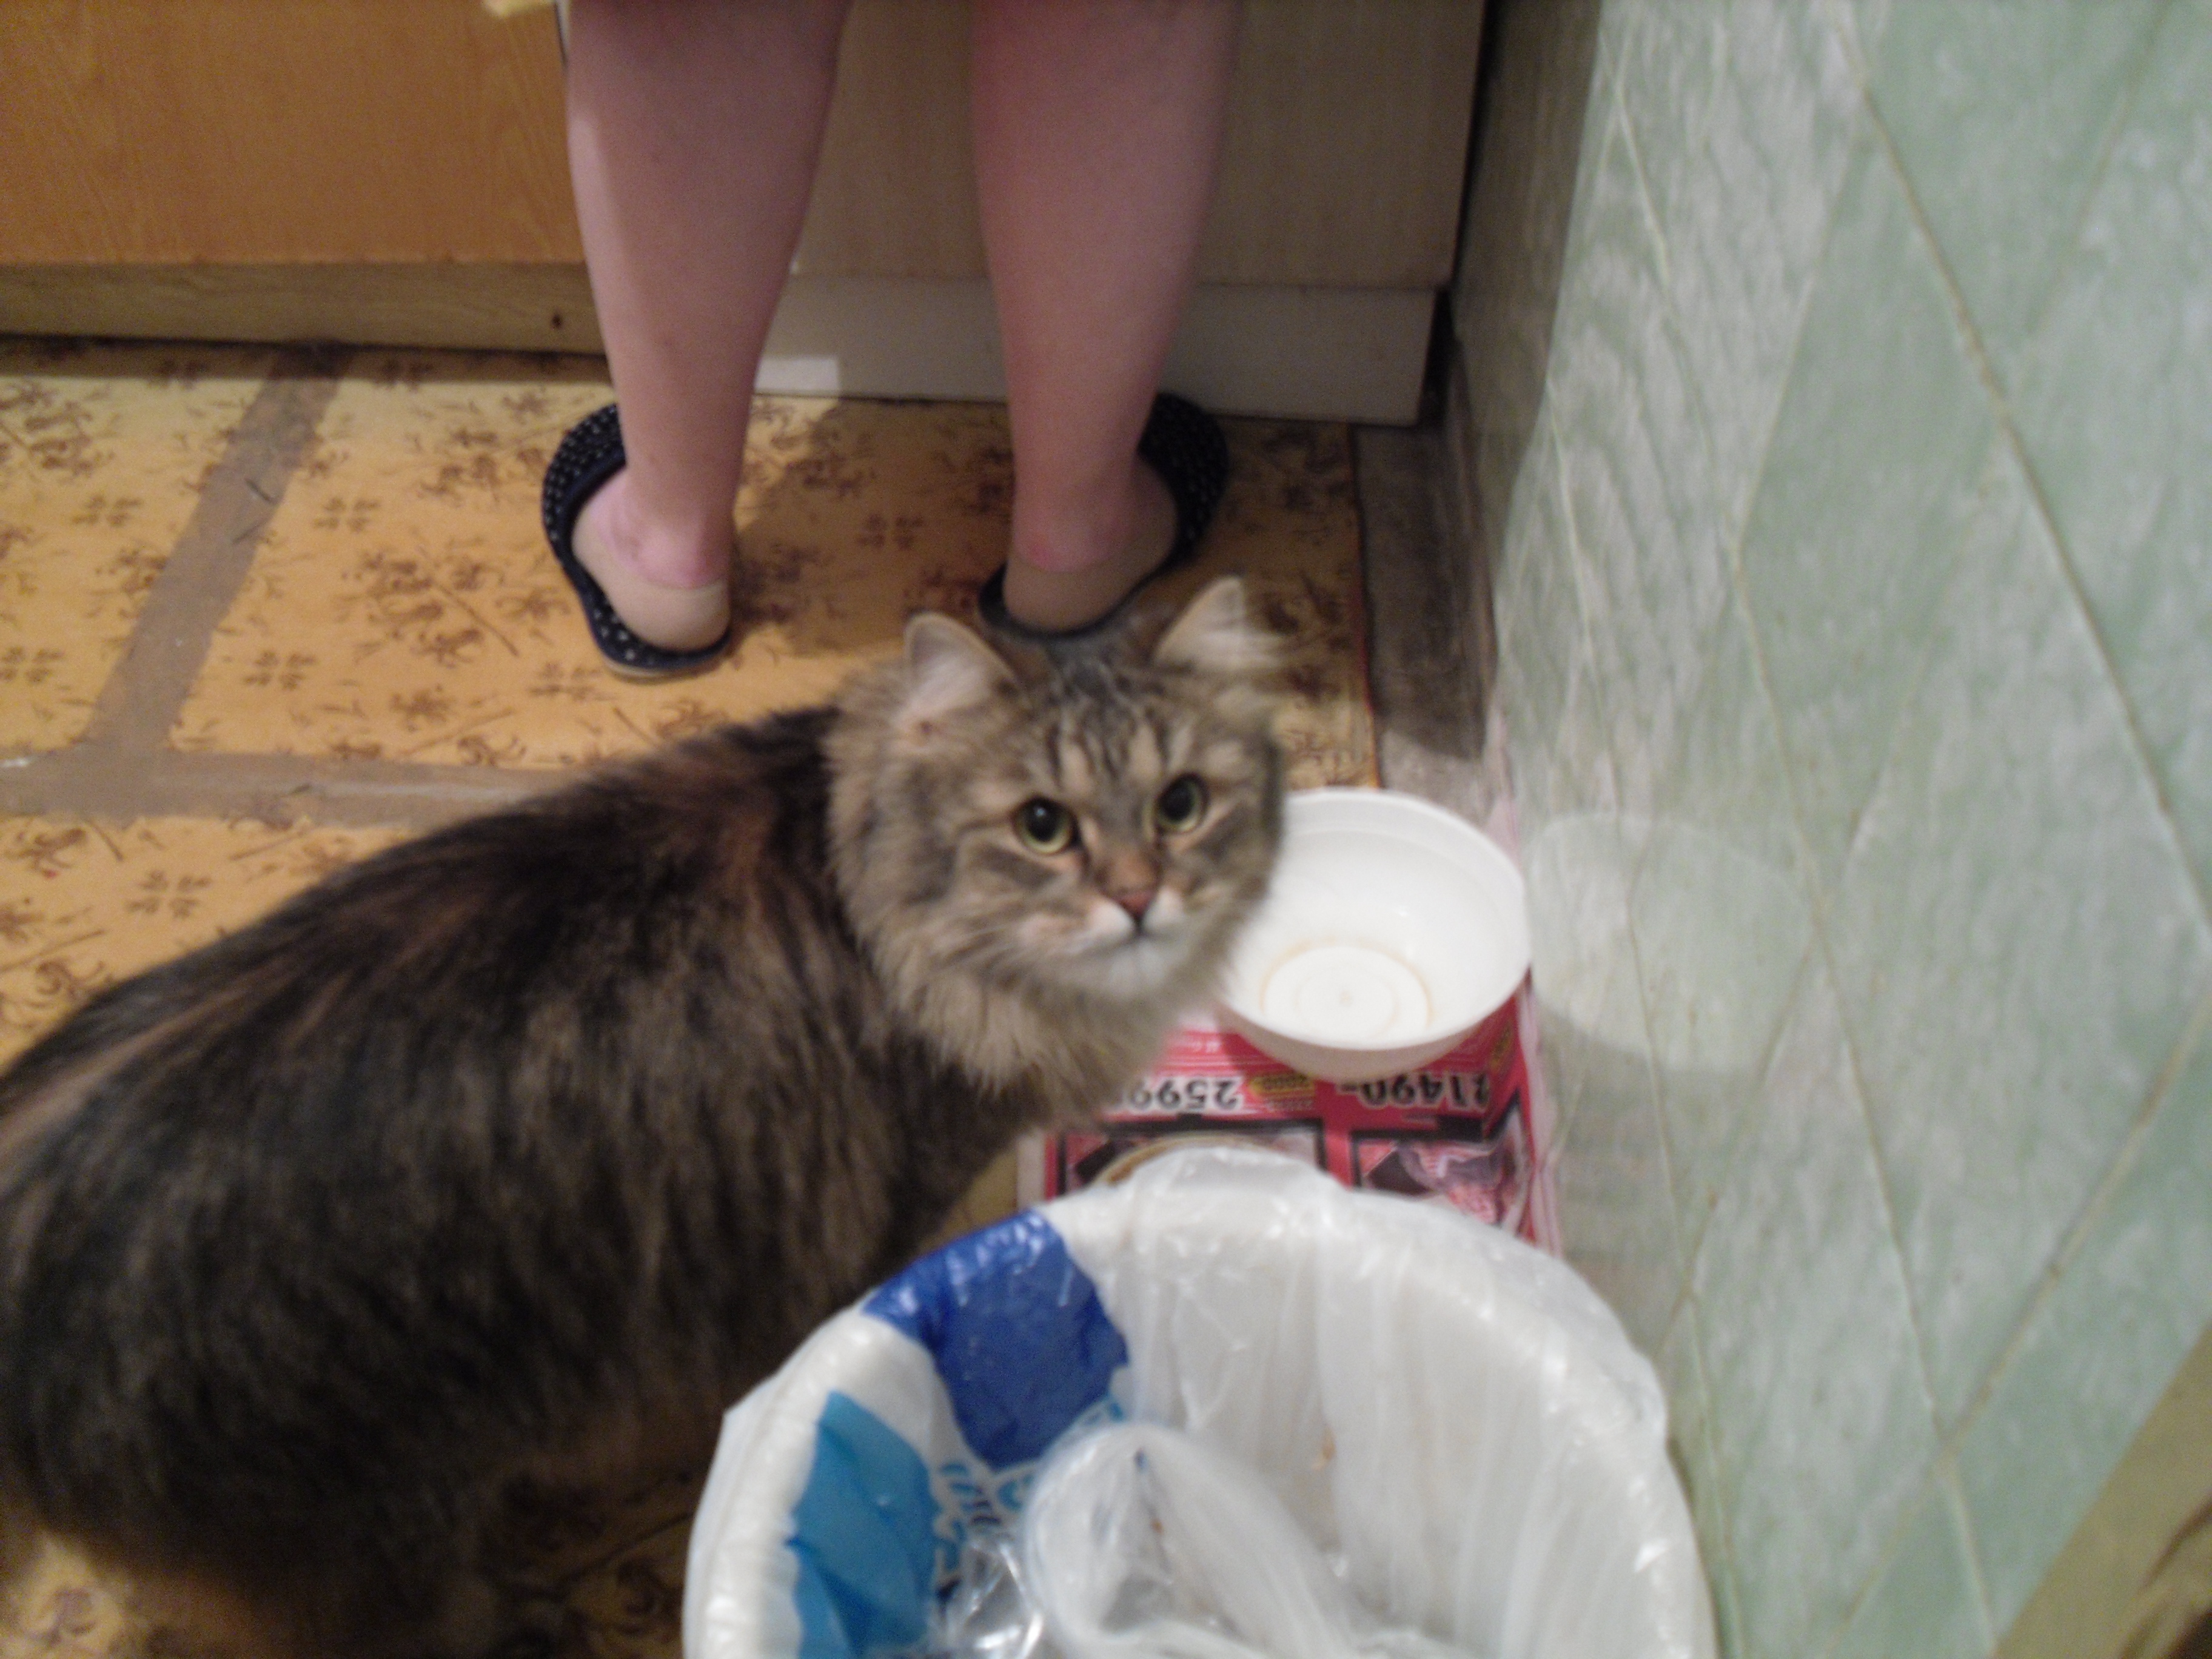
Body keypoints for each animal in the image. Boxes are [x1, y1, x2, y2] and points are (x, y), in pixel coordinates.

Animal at [0, 576, 1284, 1659]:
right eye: (1041, 826)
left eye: (1180, 806)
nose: (1139, 899)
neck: (870, 890)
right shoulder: (870, 1215)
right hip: (364, 1529)